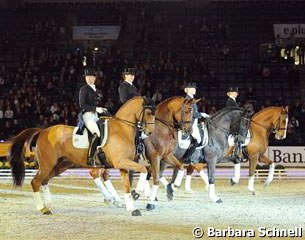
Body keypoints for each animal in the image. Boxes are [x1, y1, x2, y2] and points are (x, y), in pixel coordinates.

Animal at [8, 96, 156, 217]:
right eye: (149, 113)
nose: (150, 132)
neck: (122, 129)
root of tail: (43, 130)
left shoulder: (123, 164)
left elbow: (128, 184)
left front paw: (132, 208)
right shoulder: (121, 161)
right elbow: (143, 170)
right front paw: (137, 192)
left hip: (60, 165)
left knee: (44, 181)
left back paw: (49, 205)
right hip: (47, 165)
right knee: (35, 182)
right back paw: (43, 208)